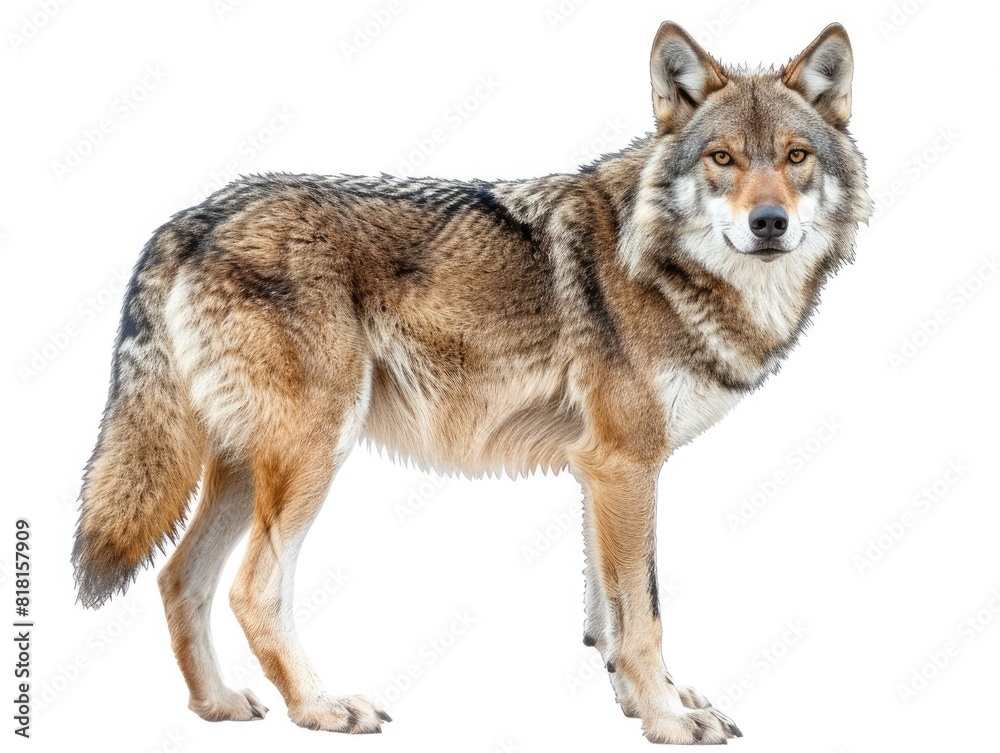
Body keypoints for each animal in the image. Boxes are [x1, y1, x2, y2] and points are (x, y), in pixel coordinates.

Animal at [72, 21, 869, 744]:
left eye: (796, 157)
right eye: (722, 159)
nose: (769, 223)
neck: (664, 262)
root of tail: (195, 216)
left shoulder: (599, 472)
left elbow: (608, 616)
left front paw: (647, 702)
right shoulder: (625, 466)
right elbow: (643, 615)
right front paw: (669, 720)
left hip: (248, 466)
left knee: (180, 578)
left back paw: (217, 705)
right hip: (312, 455)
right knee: (251, 591)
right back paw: (322, 708)